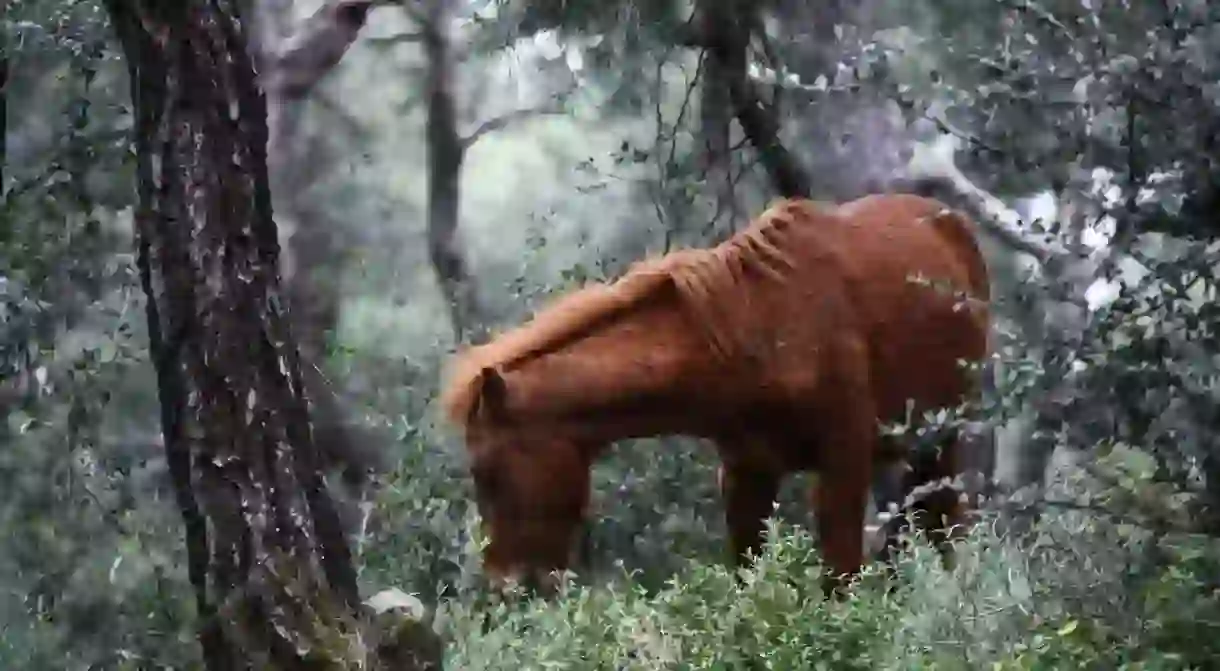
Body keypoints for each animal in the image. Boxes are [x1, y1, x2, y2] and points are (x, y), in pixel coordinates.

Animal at [439, 192, 990, 595]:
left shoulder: (843, 464)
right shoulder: (747, 473)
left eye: (486, 472)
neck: (759, 329)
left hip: (944, 443)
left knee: (947, 532)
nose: (504, 588)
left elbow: (839, 580)